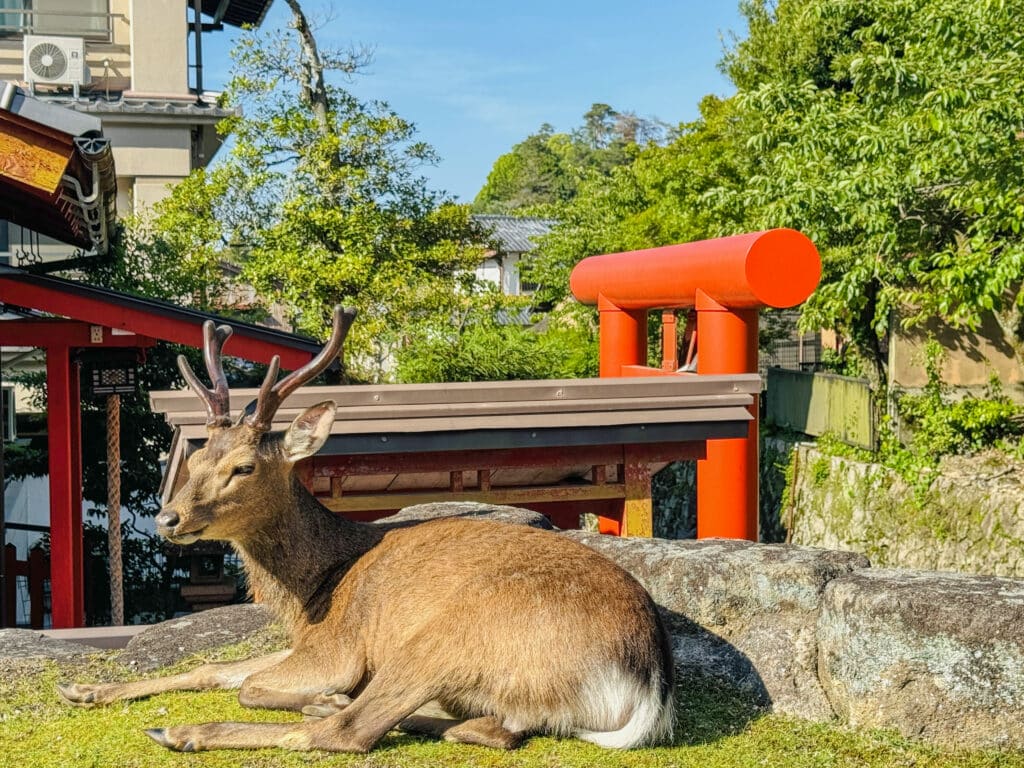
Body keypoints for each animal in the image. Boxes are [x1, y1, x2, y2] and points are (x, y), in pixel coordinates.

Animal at [59, 309, 675, 757]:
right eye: (199, 455)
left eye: (244, 467)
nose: (168, 518)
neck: (310, 593)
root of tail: (646, 680)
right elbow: (211, 669)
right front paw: (84, 689)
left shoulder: (338, 644)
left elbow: (251, 687)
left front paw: (320, 697)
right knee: (491, 728)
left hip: (443, 637)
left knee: (354, 731)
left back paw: (191, 732)